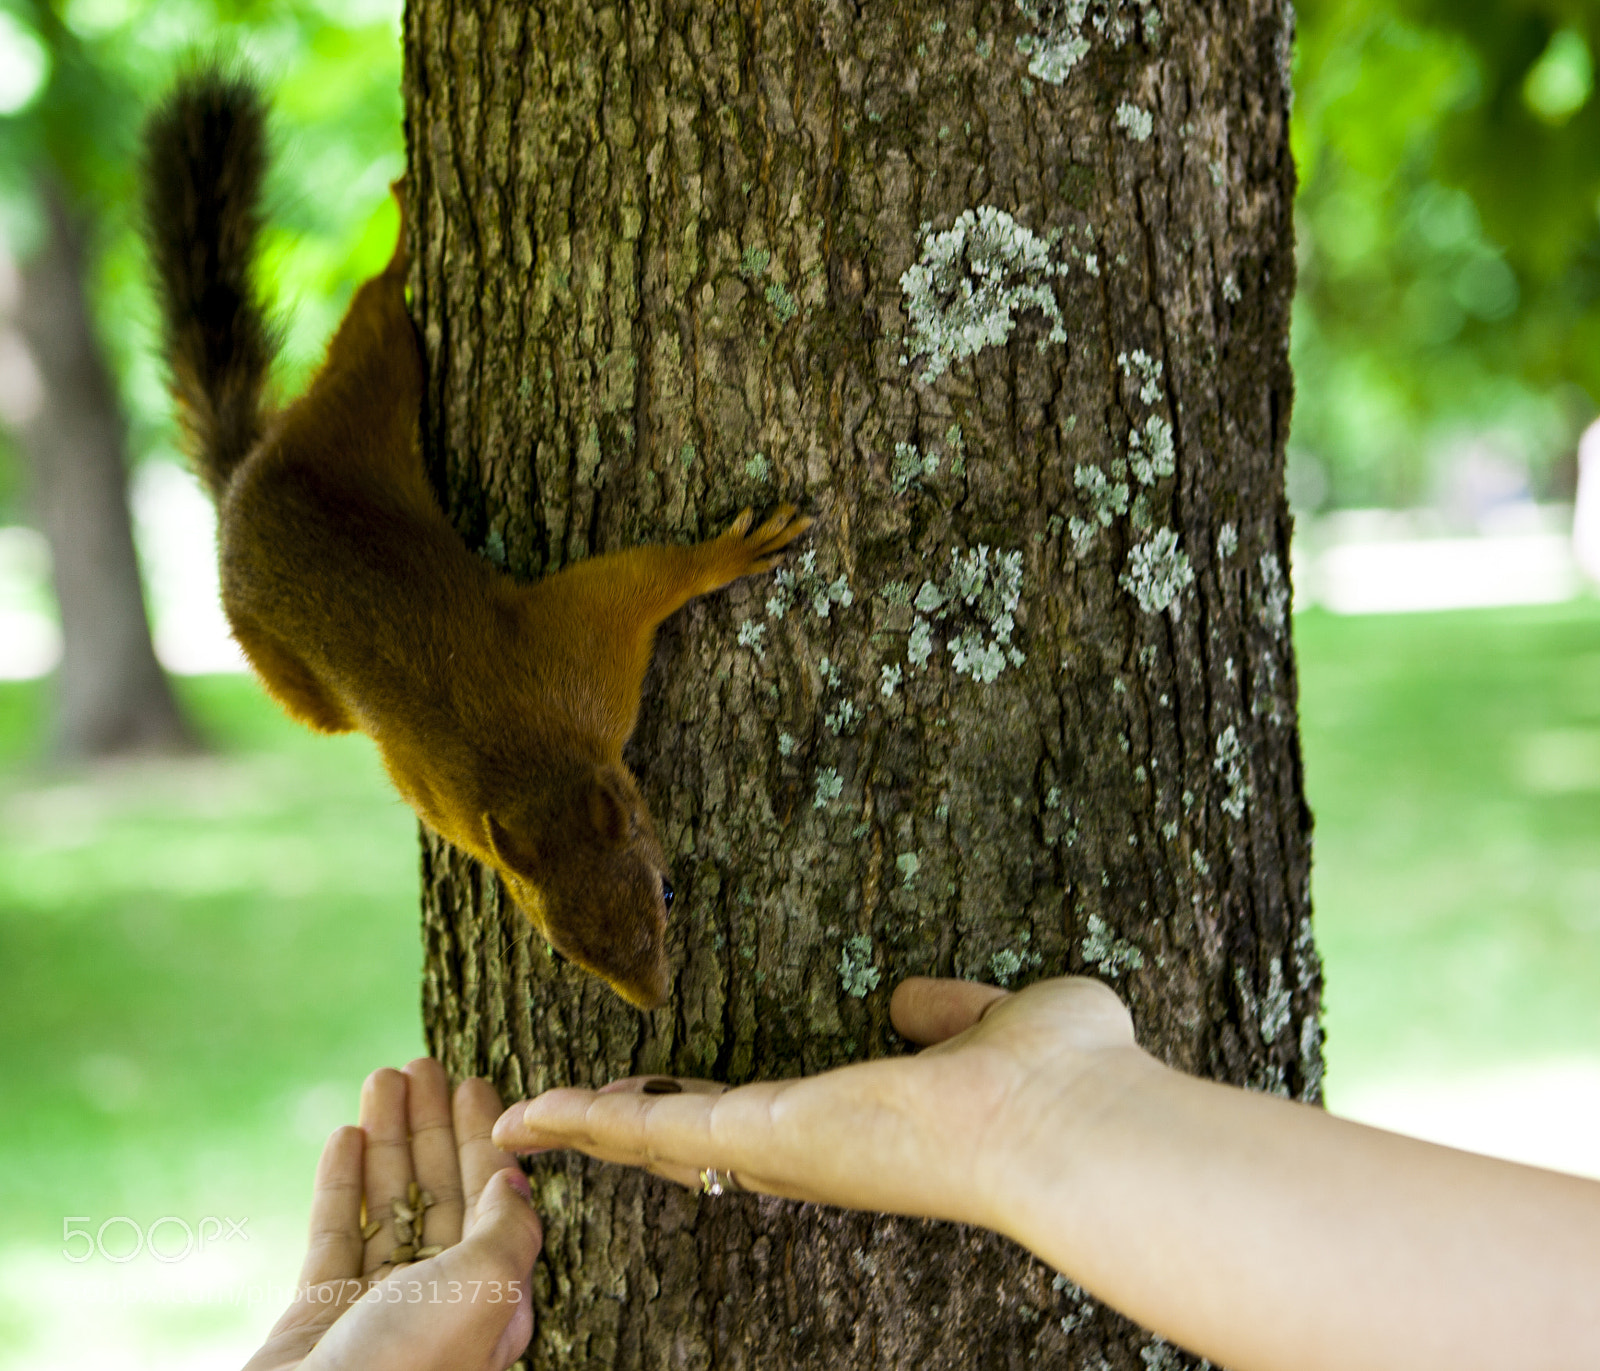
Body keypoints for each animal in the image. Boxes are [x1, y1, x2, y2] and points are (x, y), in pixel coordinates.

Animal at [140, 69, 811, 1011]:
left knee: (375, 317)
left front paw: (729, 553)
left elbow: (643, 576)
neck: (526, 759)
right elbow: (638, 578)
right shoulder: (524, 707)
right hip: (304, 637)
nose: (652, 1001)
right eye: (563, 946)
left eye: (669, 890)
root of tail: (243, 480)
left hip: (361, 398)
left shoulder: (576, 658)